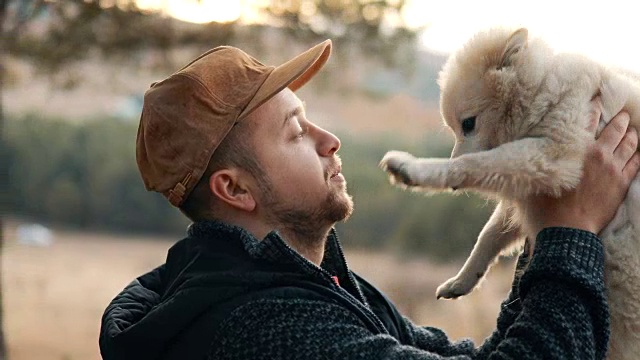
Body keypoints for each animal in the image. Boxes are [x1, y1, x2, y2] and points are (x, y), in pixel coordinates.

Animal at [380, 26, 640, 358]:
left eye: (468, 124)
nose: (453, 187)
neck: (541, 89)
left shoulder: (555, 155)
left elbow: (475, 163)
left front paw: (413, 169)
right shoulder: (530, 190)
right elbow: (489, 235)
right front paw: (462, 281)